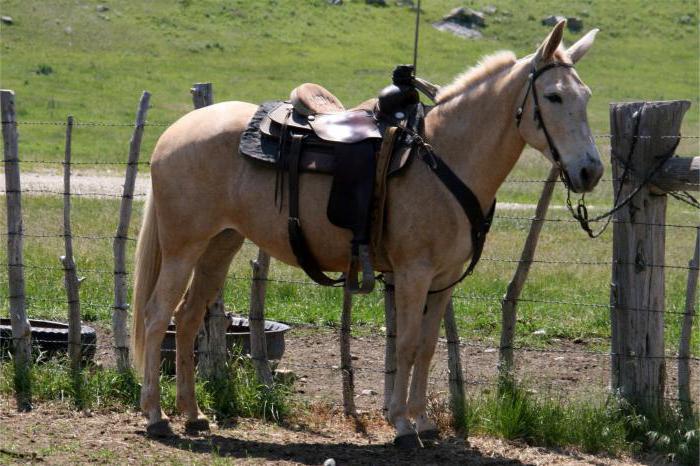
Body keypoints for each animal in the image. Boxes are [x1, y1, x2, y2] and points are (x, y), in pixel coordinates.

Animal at [130, 20, 600, 446]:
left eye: (587, 96)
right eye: (554, 96)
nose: (590, 171)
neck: (443, 157)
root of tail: (175, 132)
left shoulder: (444, 280)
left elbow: (427, 347)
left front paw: (423, 422)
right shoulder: (413, 274)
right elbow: (406, 344)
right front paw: (403, 426)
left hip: (219, 246)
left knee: (187, 318)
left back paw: (193, 415)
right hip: (182, 248)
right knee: (157, 316)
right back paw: (156, 416)